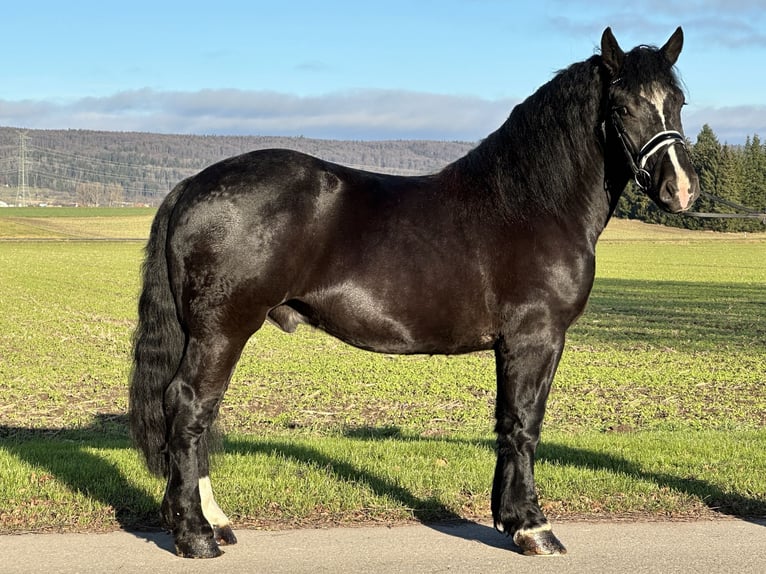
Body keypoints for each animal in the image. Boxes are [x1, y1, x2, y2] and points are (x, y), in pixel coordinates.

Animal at [130, 25, 704, 560]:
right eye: (622, 106)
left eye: (678, 101)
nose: (680, 190)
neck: (530, 204)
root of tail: (192, 186)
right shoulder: (535, 338)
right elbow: (524, 424)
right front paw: (533, 528)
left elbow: (506, 422)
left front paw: (508, 518)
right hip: (222, 330)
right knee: (190, 406)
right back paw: (196, 536)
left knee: (199, 413)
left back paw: (215, 523)